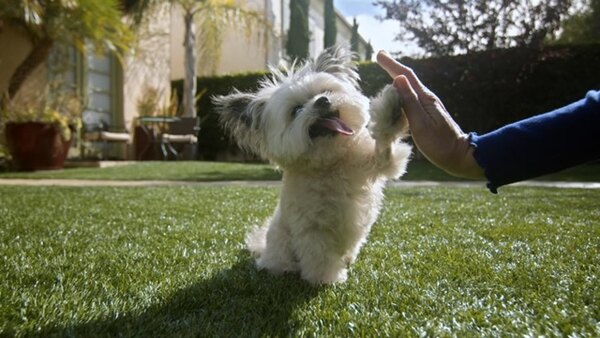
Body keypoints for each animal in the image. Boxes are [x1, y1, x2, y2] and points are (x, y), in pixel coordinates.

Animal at [214, 45, 412, 286]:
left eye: (325, 91)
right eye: (296, 110)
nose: (322, 101)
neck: (329, 164)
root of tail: (264, 249)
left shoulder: (372, 163)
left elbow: (385, 147)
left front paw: (392, 112)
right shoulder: (312, 229)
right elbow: (320, 256)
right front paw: (326, 280)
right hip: (281, 244)